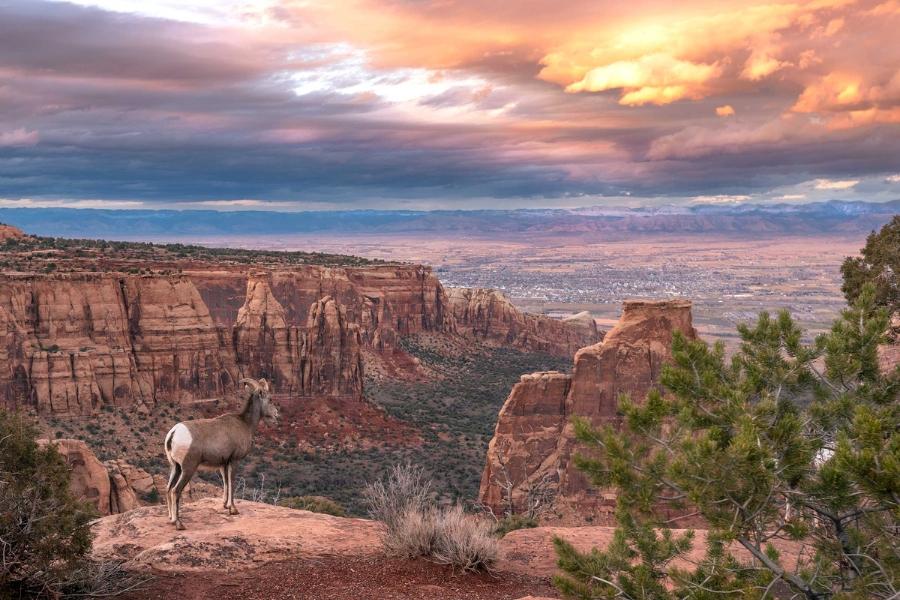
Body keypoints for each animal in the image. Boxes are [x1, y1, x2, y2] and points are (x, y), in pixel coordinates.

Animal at [163, 380, 278, 528]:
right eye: (270, 399)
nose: (276, 415)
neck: (245, 424)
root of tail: (174, 433)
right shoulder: (234, 461)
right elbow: (232, 482)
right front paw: (233, 509)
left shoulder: (223, 464)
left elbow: (225, 482)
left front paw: (225, 506)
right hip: (188, 468)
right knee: (175, 491)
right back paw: (179, 523)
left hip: (175, 467)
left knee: (168, 488)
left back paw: (171, 519)